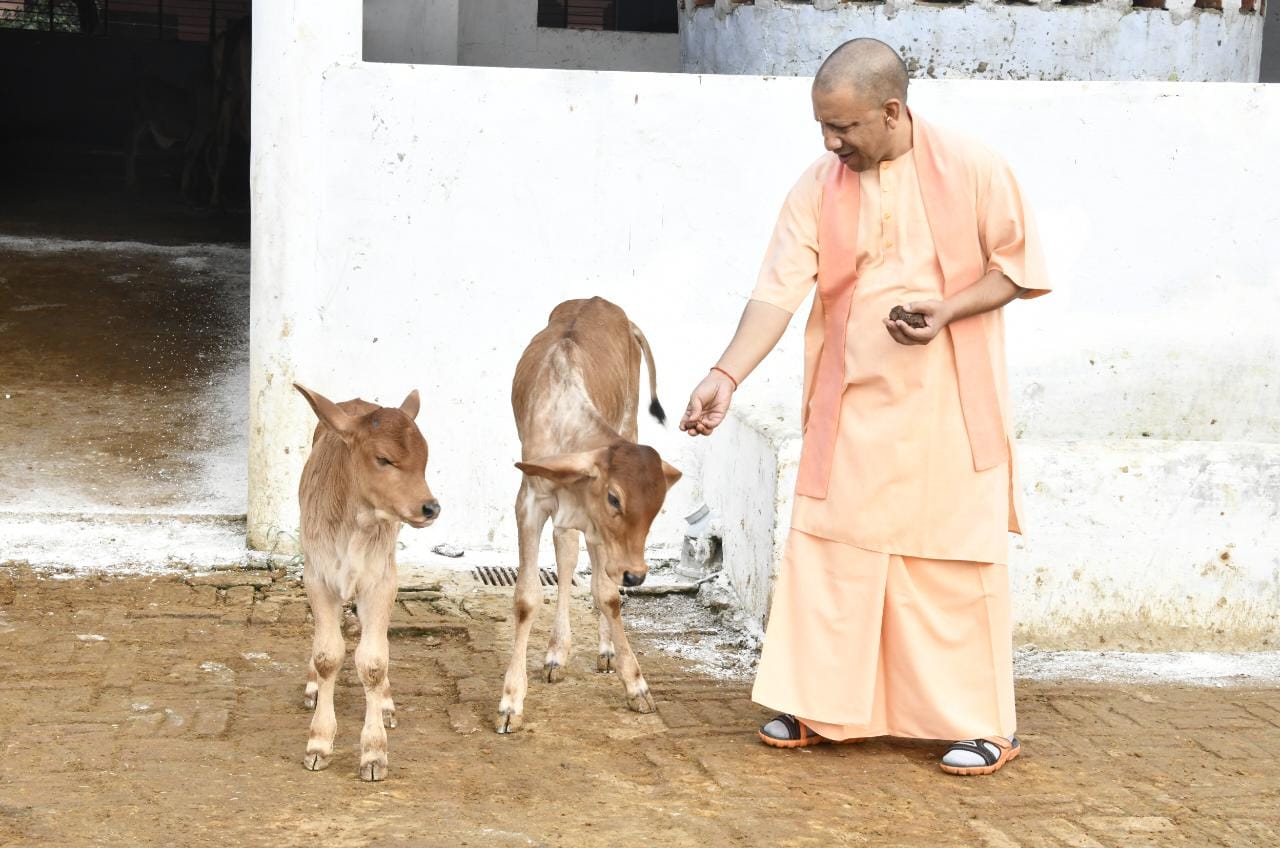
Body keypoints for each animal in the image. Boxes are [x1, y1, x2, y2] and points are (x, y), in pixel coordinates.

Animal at [293, 384, 441, 781]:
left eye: (425, 458)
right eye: (383, 459)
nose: (430, 507)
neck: (355, 526)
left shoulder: (382, 581)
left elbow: (374, 662)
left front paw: (374, 752)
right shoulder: (317, 577)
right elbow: (327, 655)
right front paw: (318, 743)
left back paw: (386, 703)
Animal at [496, 297, 682, 734]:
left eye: (657, 508)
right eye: (614, 498)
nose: (637, 574)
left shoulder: (599, 526)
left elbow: (608, 594)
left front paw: (635, 684)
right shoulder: (531, 503)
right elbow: (527, 597)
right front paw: (511, 700)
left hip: (629, 418)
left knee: (593, 572)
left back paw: (605, 651)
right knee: (566, 556)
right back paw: (556, 652)